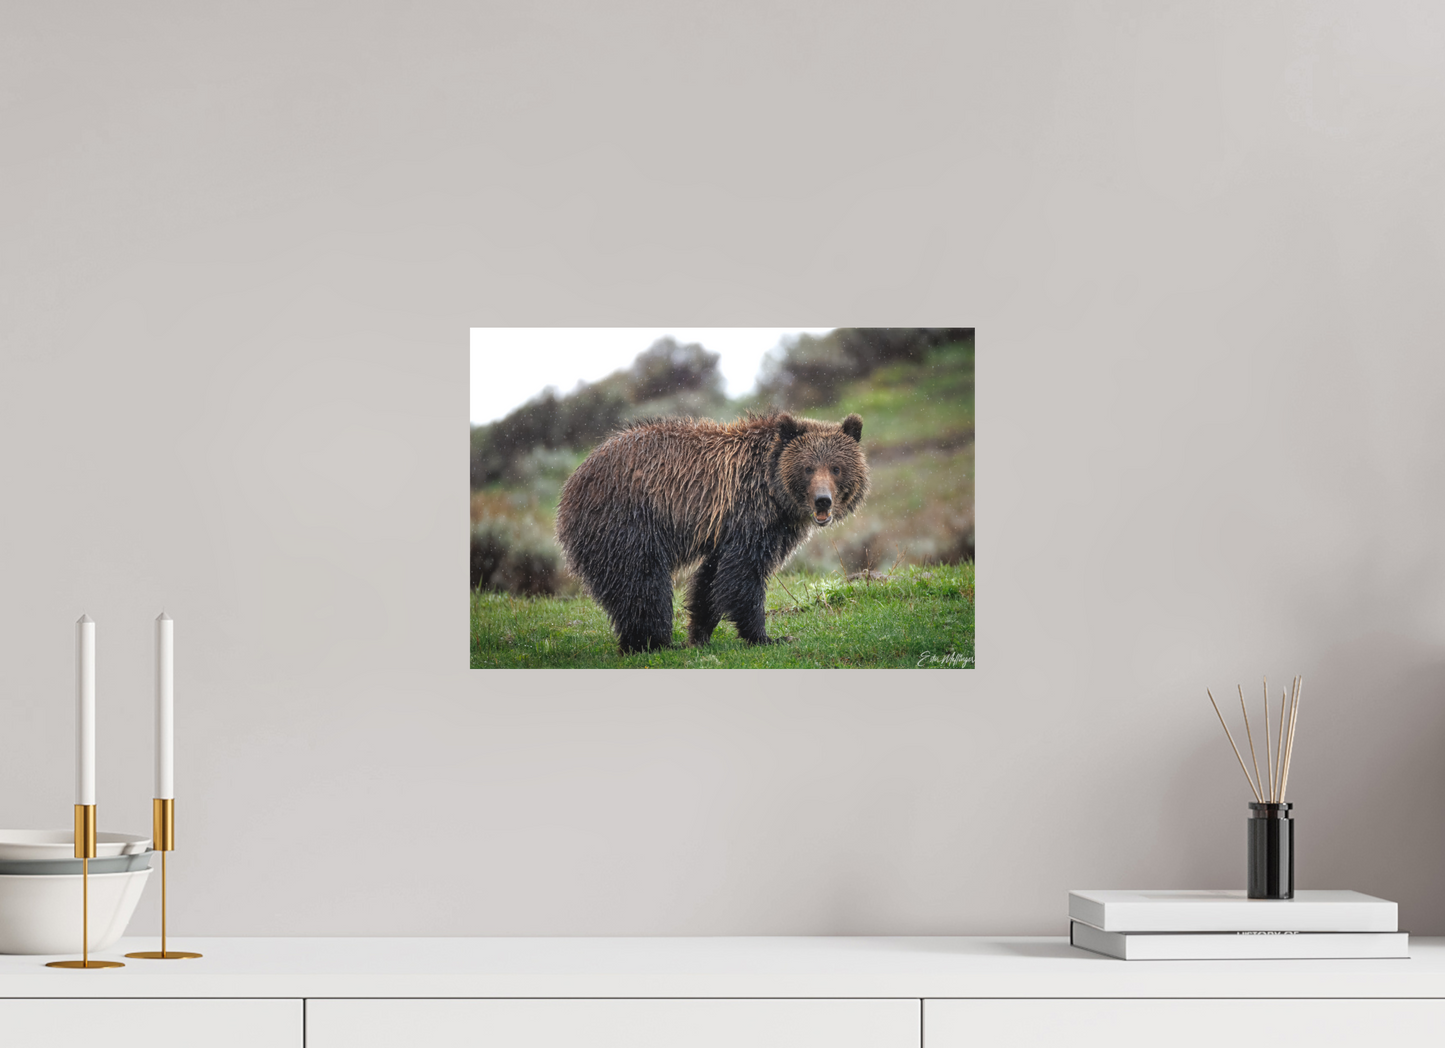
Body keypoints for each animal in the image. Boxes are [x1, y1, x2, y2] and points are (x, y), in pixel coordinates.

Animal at [555, 412, 869, 654]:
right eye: (808, 468)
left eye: (836, 467)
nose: (823, 500)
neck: (775, 492)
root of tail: (572, 483)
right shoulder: (750, 517)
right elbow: (743, 576)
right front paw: (766, 636)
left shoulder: (729, 530)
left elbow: (711, 579)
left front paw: (699, 633)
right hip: (628, 522)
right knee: (643, 583)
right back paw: (653, 643)